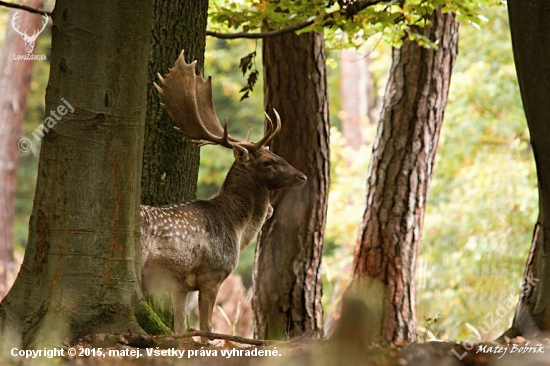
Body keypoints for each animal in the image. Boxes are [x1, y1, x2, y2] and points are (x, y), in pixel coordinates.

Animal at [140, 51, 308, 340]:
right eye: (267, 162)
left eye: (276, 154)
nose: (302, 176)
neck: (237, 229)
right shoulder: (212, 274)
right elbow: (206, 330)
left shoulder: (179, 285)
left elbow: (180, 329)